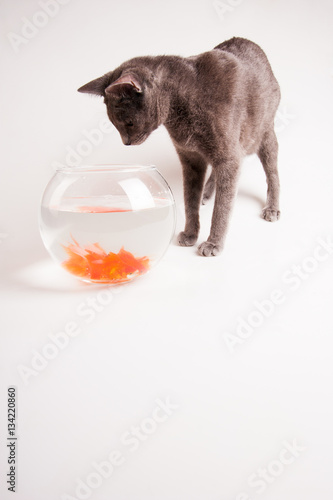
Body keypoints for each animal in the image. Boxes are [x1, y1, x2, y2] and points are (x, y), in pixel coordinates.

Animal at [78, 37, 280, 256]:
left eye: (128, 123)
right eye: (114, 124)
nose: (126, 142)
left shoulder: (228, 156)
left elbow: (222, 207)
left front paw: (213, 243)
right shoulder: (190, 157)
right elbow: (189, 200)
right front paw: (190, 234)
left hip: (265, 133)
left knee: (272, 173)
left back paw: (272, 208)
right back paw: (207, 193)